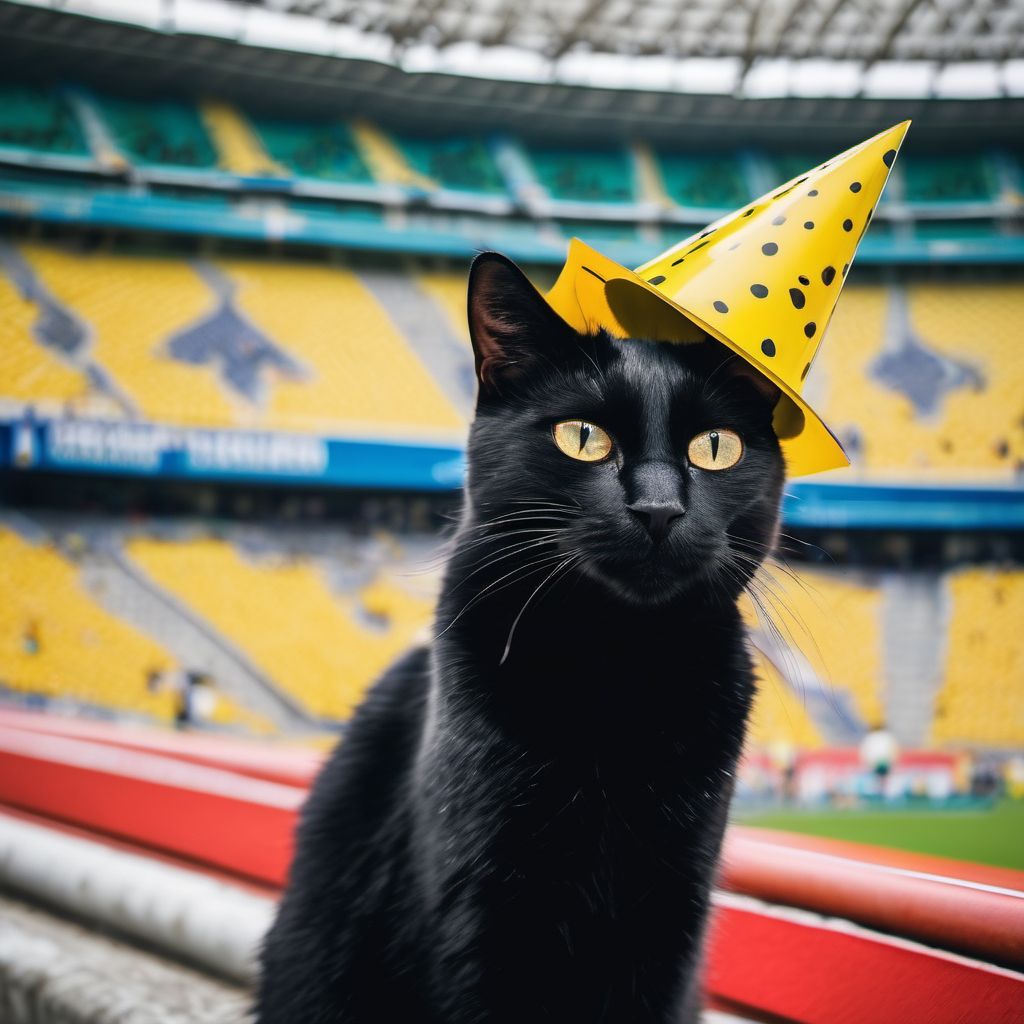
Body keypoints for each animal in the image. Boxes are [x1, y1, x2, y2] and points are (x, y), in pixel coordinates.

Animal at [256, 251, 782, 1019]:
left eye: (715, 448)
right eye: (584, 437)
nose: (659, 508)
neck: (615, 676)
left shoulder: (668, 915)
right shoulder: (485, 909)